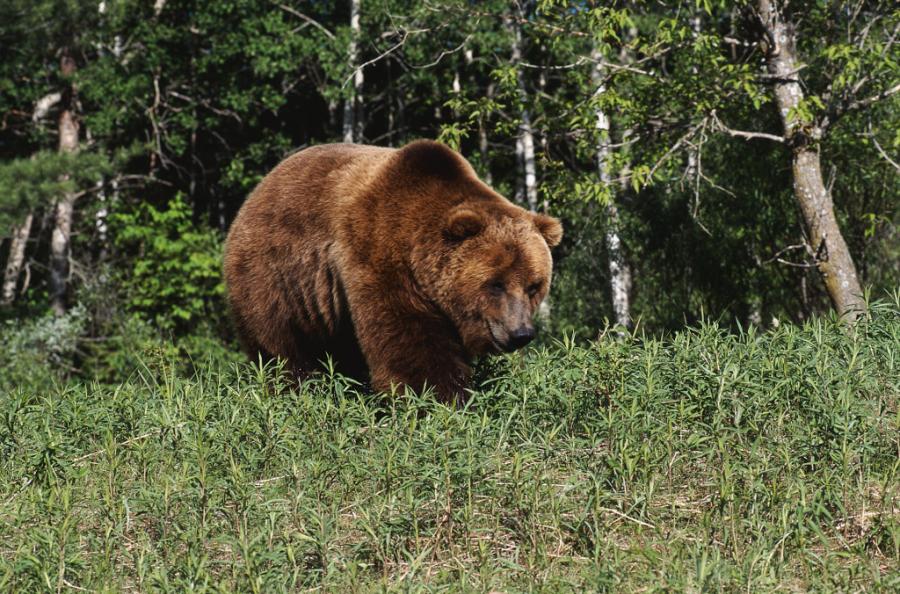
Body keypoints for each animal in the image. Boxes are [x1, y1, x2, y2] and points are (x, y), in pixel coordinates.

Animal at [223, 138, 564, 402]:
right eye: (495, 284)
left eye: (534, 286)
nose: (521, 333)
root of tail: (256, 192)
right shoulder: (379, 256)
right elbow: (410, 343)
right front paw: (439, 399)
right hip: (275, 278)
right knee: (281, 346)